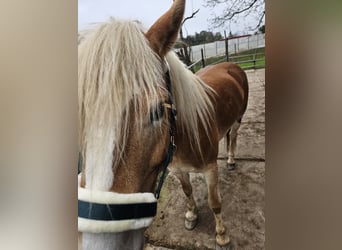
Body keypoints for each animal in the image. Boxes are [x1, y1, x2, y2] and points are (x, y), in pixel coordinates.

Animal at [77, 0, 248, 249]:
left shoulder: (210, 169)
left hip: (237, 120)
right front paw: (191, 215)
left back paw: (232, 160)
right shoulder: (177, 170)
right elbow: (187, 191)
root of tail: (230, 65)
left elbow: (214, 202)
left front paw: (221, 234)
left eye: (158, 111)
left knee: (233, 137)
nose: (98, 243)